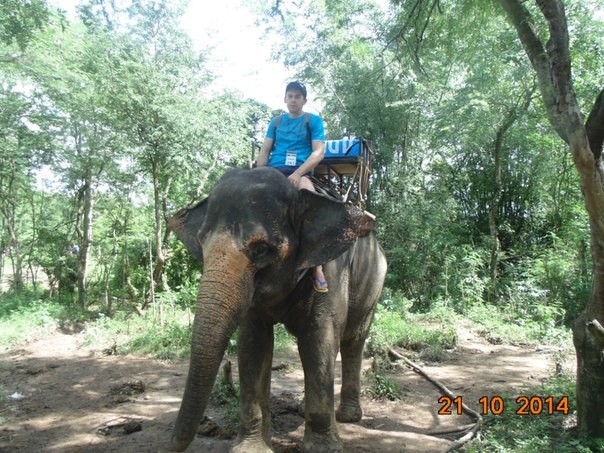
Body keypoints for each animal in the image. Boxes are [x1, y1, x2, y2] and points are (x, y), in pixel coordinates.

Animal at [168, 167, 390, 452]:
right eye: (201, 244)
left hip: (374, 285)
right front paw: (251, 448)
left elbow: (319, 340)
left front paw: (323, 448)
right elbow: (252, 344)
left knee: (354, 341)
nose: (168, 445)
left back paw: (348, 417)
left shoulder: (330, 270)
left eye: (261, 249)